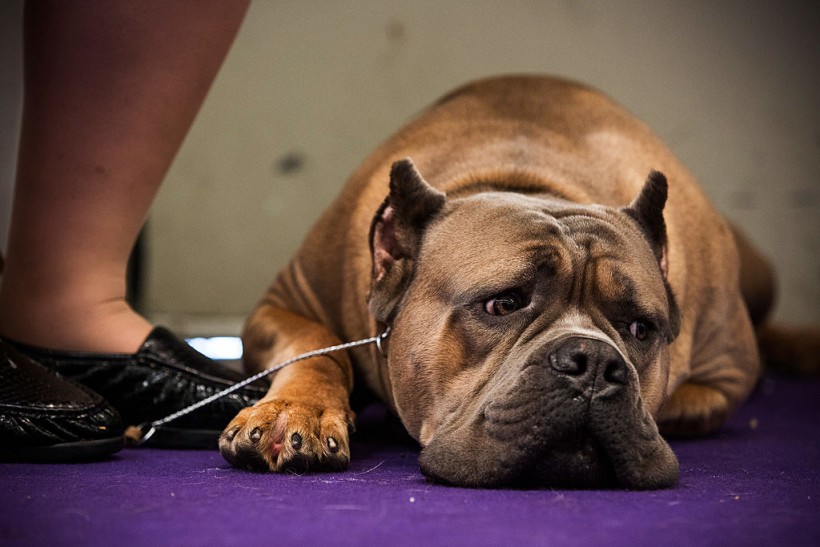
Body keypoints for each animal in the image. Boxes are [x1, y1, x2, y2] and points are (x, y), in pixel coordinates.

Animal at [219, 75, 768, 490]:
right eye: (503, 304)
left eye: (640, 329)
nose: (594, 362)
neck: (528, 183)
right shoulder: (286, 302)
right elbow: (315, 346)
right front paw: (297, 411)